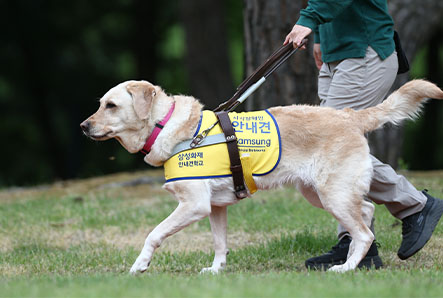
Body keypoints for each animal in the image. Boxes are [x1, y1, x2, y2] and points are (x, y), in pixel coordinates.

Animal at [80, 78, 443, 272]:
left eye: (111, 106)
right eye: (100, 103)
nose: (83, 126)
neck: (166, 125)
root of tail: (350, 115)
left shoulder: (193, 205)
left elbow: (153, 234)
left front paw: (139, 266)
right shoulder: (215, 208)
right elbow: (220, 243)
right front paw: (215, 271)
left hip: (333, 195)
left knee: (364, 231)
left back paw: (345, 268)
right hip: (320, 193)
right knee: (365, 213)